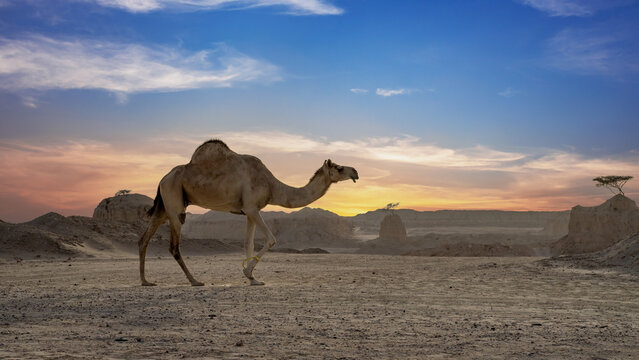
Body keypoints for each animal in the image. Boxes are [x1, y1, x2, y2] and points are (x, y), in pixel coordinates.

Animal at [139, 139, 360, 286]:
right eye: (339, 168)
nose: (356, 172)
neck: (272, 185)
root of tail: (162, 179)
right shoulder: (252, 207)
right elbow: (271, 239)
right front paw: (248, 273)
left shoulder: (248, 211)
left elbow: (249, 243)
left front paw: (252, 278)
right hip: (175, 202)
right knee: (174, 246)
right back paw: (195, 281)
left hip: (164, 207)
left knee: (144, 239)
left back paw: (145, 281)